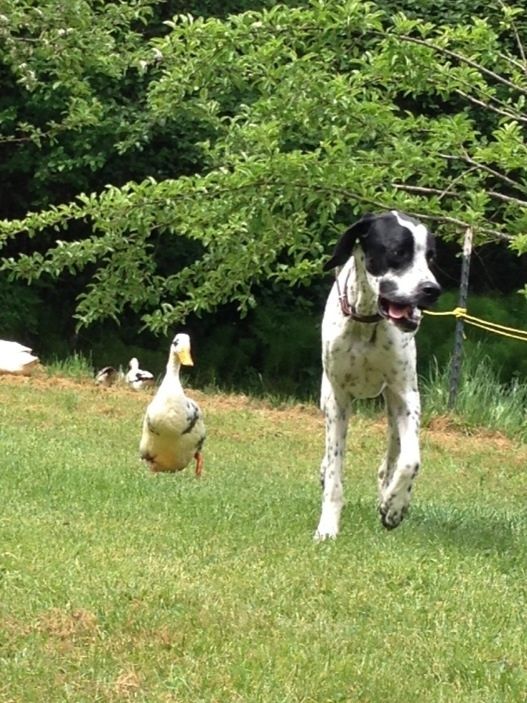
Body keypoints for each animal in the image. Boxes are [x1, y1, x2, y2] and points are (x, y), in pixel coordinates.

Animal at [315, 210, 441, 539]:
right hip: (326, 396)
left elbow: (411, 461)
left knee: (393, 457)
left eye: (430, 257)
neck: (367, 321)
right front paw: (327, 527)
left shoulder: (406, 395)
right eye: (398, 252)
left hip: (392, 408)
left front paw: (394, 506)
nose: (432, 289)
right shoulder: (337, 399)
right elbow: (335, 470)